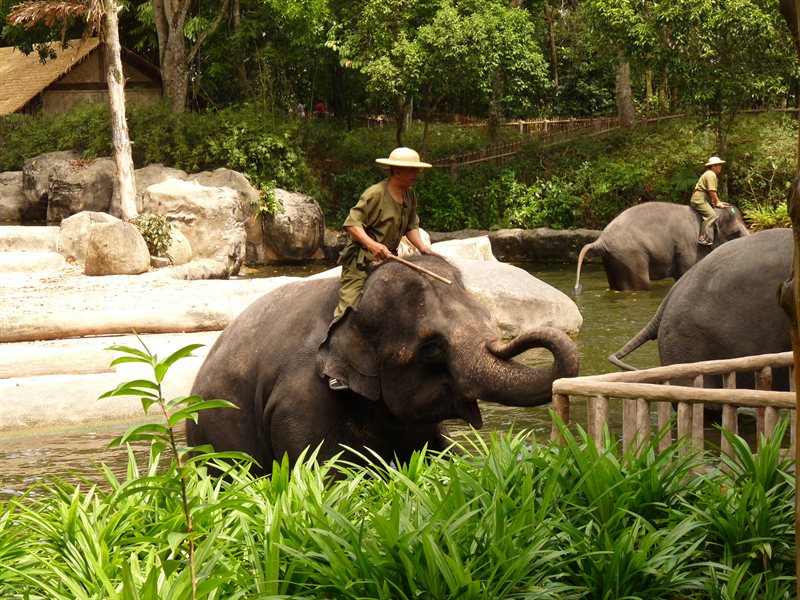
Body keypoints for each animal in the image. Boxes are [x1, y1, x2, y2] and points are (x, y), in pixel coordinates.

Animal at [574, 201, 749, 294]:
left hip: (612, 259)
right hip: (630, 255)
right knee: (640, 285)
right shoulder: (690, 246)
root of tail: (601, 239)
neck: (710, 214)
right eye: (735, 233)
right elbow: (686, 272)